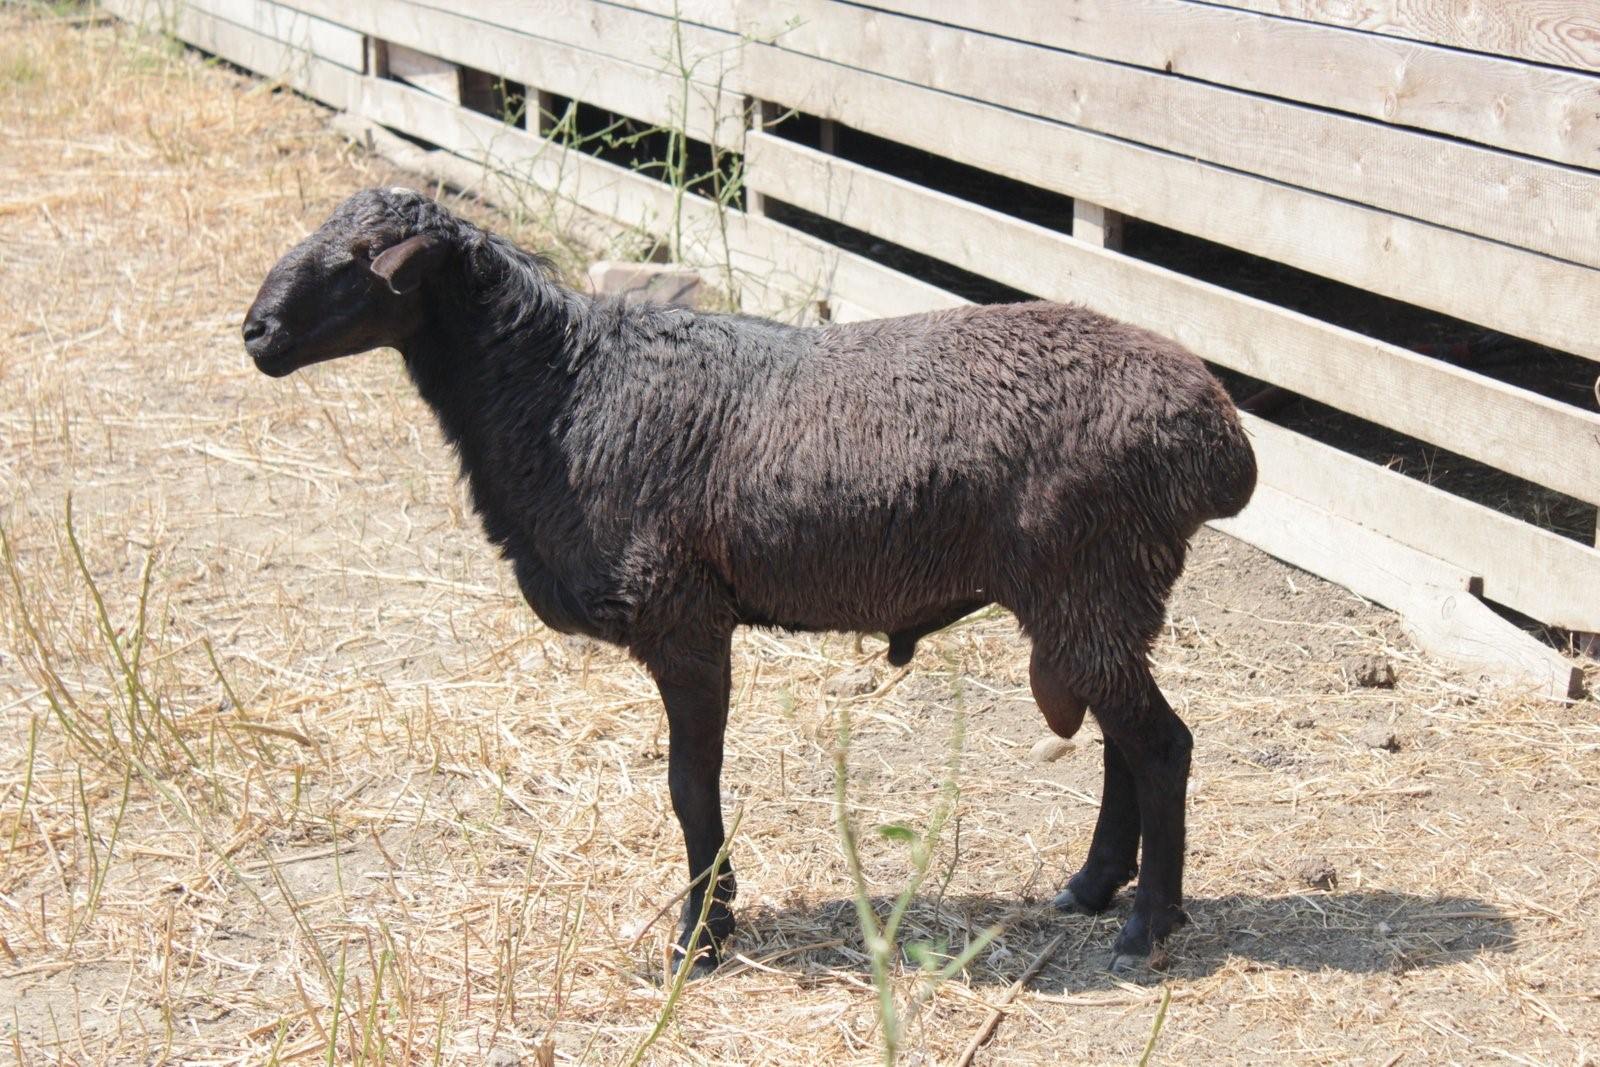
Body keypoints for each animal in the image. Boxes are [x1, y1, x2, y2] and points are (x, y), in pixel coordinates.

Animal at [243, 187, 1254, 972]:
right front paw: (709, 918)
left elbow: (691, 786)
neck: (563, 392)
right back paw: (1090, 887)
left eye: (366, 262)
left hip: (1090, 581)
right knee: (1127, 745)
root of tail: (1220, 438)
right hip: (1099, 596)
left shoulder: (682, 617)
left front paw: (700, 936)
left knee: (1163, 746)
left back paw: (1146, 927)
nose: (256, 333)